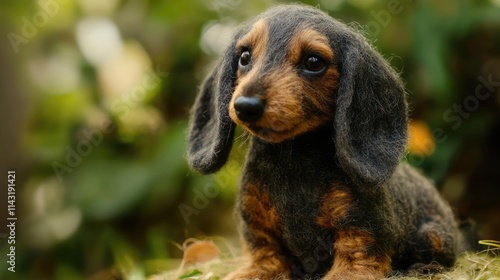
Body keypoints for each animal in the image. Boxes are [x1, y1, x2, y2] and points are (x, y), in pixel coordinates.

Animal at [187, 4, 464, 280]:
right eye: (244, 57)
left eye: (313, 62)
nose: (245, 106)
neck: (292, 160)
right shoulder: (262, 238)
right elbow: (262, 259)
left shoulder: (360, 237)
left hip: (433, 235)